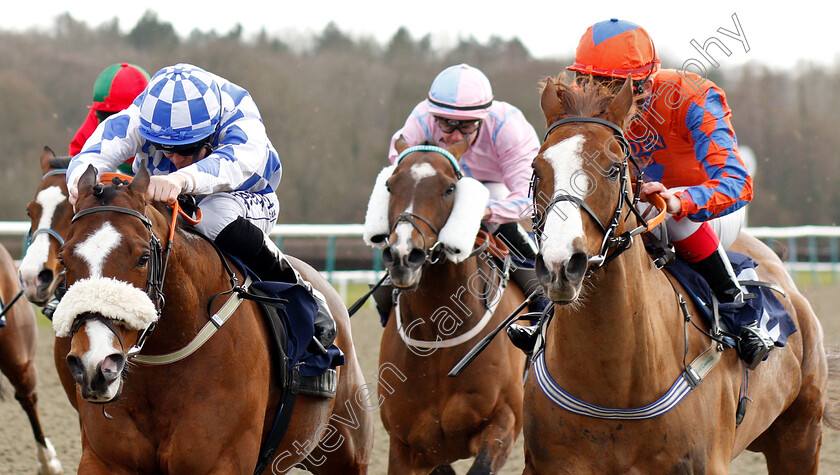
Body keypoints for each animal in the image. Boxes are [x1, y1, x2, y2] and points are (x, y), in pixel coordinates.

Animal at [50, 165, 370, 474]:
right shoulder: (104, 460)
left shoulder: (223, 461)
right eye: (64, 259)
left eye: (143, 258)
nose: (95, 364)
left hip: (347, 452)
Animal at [362, 136, 524, 474]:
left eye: (449, 188)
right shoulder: (407, 446)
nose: (403, 255)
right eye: (390, 185)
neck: (440, 332)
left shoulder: (504, 421)